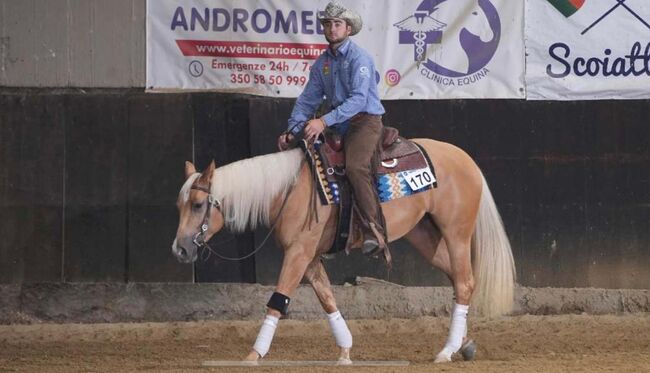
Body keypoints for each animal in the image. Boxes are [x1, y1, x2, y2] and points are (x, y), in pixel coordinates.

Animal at [173, 138, 516, 362]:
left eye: (199, 204)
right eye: (179, 205)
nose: (180, 250)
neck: (288, 189)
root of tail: (466, 159)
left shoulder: (298, 253)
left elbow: (278, 300)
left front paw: (254, 354)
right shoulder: (309, 257)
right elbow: (327, 299)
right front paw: (345, 350)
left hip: (456, 234)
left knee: (464, 282)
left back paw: (446, 350)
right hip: (424, 237)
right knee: (461, 282)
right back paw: (462, 344)